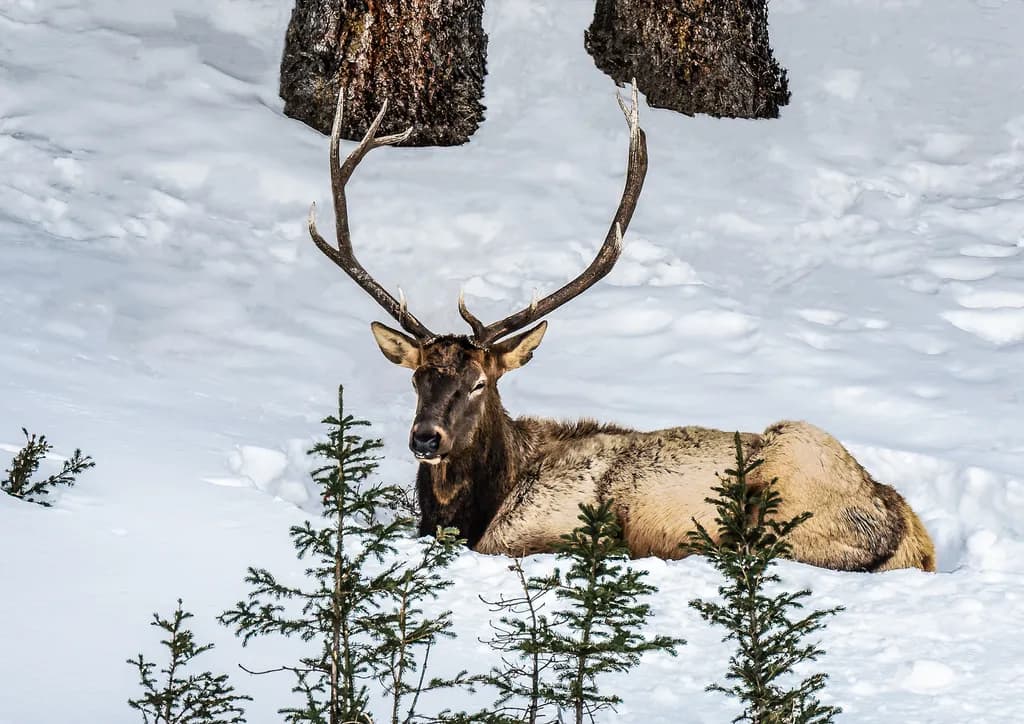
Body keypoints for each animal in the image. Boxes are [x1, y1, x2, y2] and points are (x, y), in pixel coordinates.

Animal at [306, 85, 936, 573]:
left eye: (480, 383)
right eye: (416, 379)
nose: (425, 438)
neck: (478, 503)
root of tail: (907, 530)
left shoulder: (535, 527)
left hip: (792, 475)